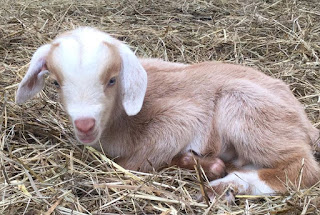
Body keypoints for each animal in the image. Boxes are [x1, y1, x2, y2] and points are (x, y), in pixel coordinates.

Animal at [16, 26, 320, 200]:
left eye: (112, 80)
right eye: (56, 82)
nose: (85, 125)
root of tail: (302, 117)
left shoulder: (179, 118)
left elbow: (134, 162)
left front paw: (199, 164)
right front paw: (197, 163)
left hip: (246, 109)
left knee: (303, 166)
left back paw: (227, 186)